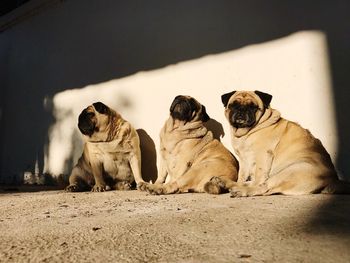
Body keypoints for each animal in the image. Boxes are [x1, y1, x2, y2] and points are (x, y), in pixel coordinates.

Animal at [220, 89, 348, 197]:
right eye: (234, 105)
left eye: (253, 107)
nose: (241, 109)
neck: (247, 132)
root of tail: (332, 179)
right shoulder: (243, 159)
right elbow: (241, 176)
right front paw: (238, 181)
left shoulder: (262, 155)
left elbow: (258, 177)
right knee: (252, 183)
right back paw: (226, 183)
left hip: (289, 171)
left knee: (263, 187)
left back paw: (242, 191)